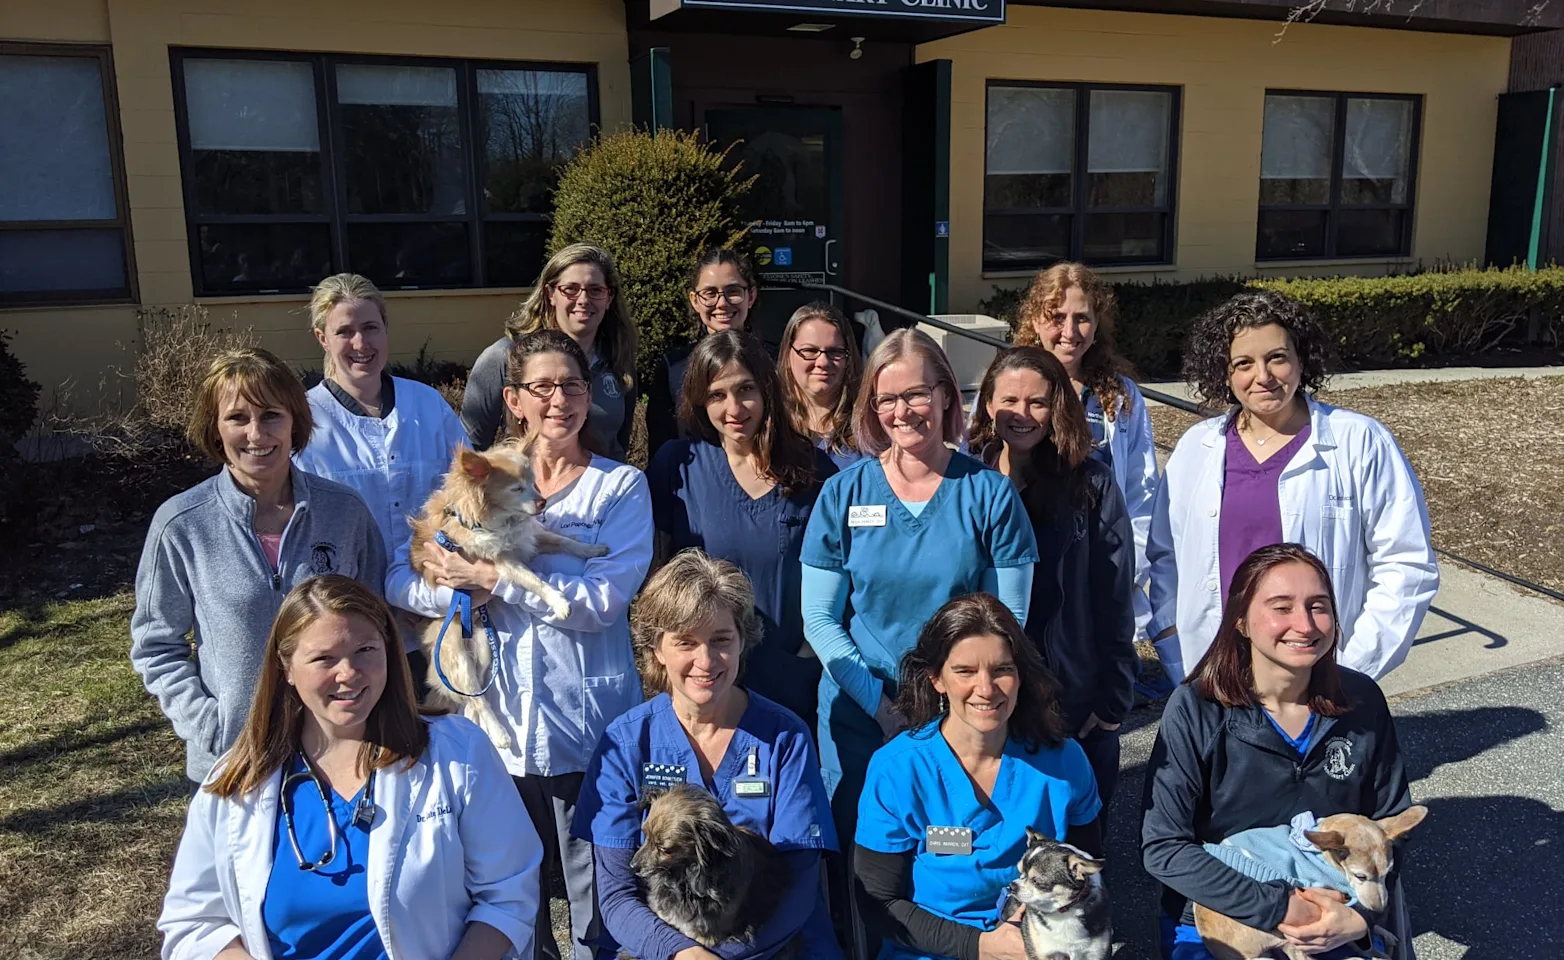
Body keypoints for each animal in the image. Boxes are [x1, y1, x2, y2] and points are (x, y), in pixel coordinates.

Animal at [409, 444, 609, 753]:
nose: (543, 501)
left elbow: (563, 541)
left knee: (474, 702)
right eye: (517, 489)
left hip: (483, 651)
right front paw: (560, 602)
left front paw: (592, 549)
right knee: (478, 700)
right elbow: (536, 581)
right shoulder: (504, 563)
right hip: (456, 658)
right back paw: (500, 734)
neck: (500, 521)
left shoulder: (531, 537)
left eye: (535, 483)